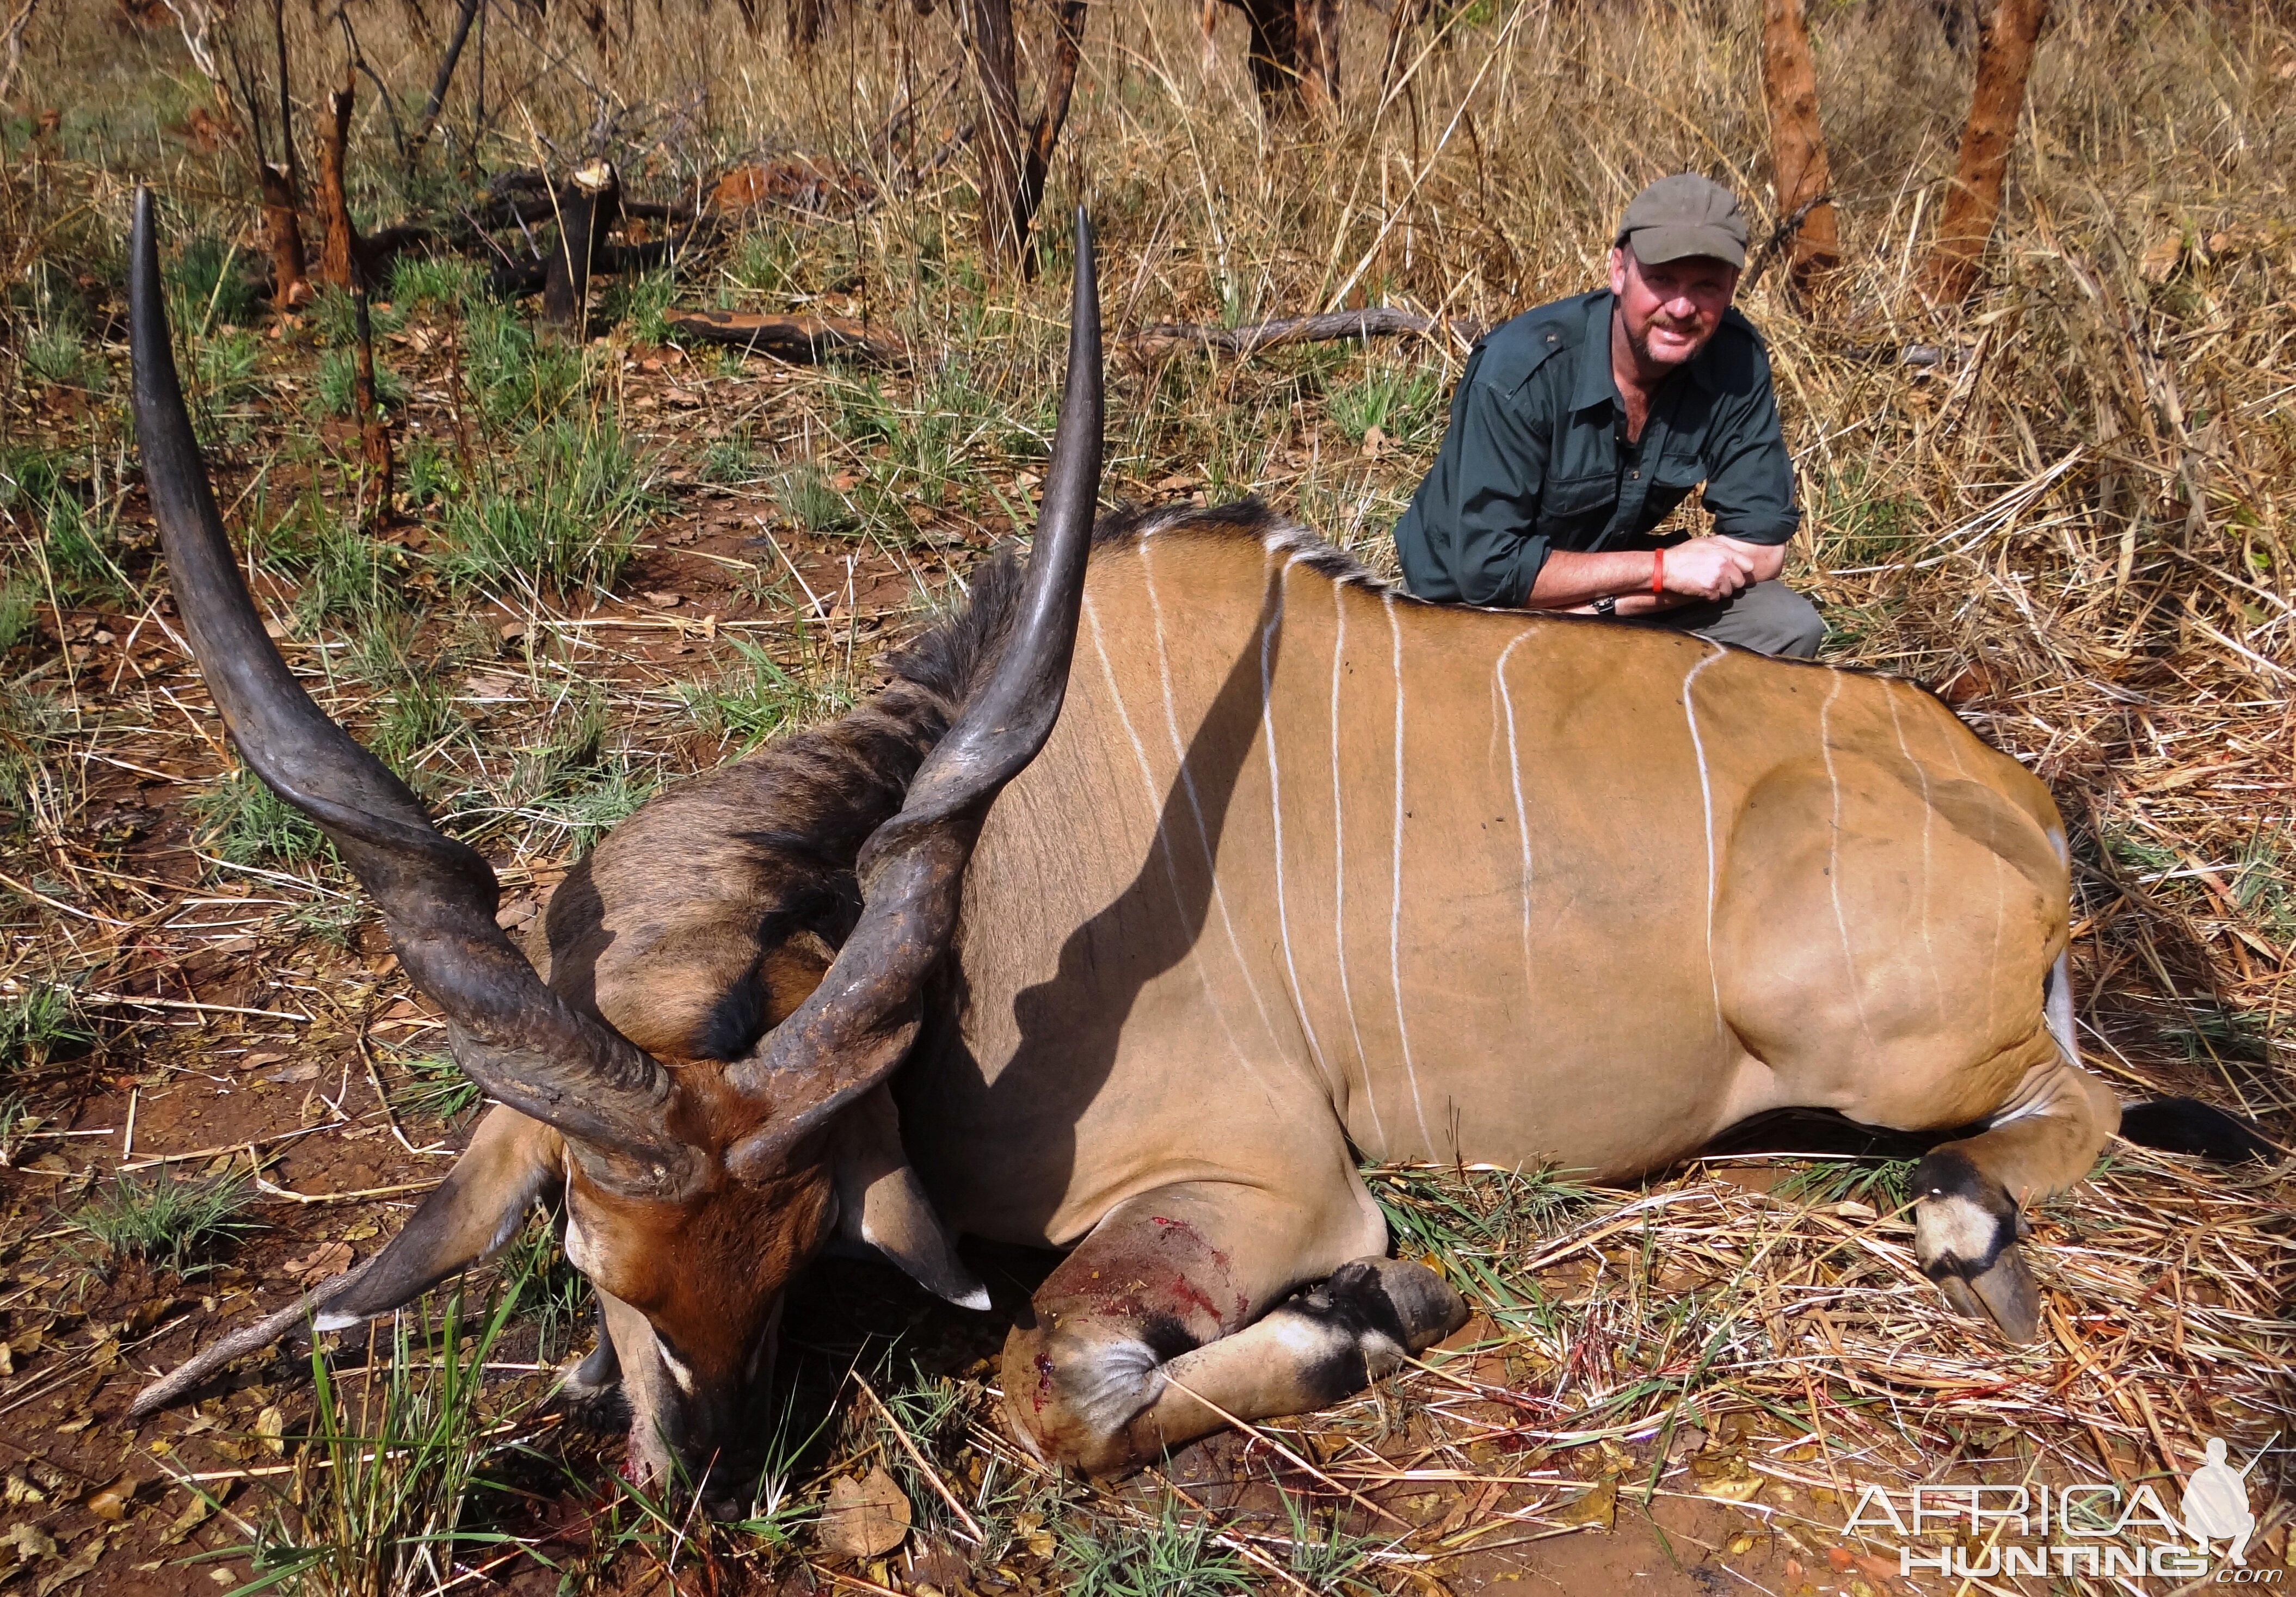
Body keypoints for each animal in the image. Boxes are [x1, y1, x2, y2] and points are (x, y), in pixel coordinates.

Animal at [134, 196, 2268, 1487]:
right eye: (586, 1237)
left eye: (810, 1224)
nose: (707, 1473)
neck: (997, 913)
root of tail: (2021, 809)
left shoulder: (1264, 1179)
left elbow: (1061, 1381)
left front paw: (1374, 1321)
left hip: (1874, 1035)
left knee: (2058, 1120)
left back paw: (1963, 1221)